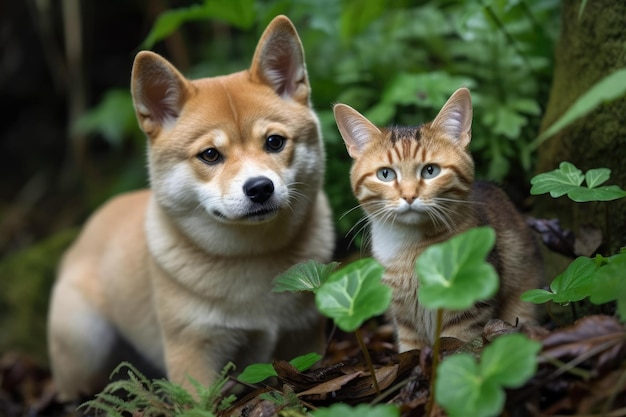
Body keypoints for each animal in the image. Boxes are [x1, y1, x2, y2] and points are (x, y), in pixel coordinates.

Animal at [48, 15, 334, 400]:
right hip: (85, 340)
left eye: (274, 142)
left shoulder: (303, 335)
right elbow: (201, 403)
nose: (260, 188)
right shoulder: (193, 350)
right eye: (210, 154)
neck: (253, 258)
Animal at [332, 88, 540, 352]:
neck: (409, 249)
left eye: (430, 171)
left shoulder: (467, 308)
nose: (409, 195)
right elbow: (410, 348)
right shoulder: (405, 321)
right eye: (385, 174)